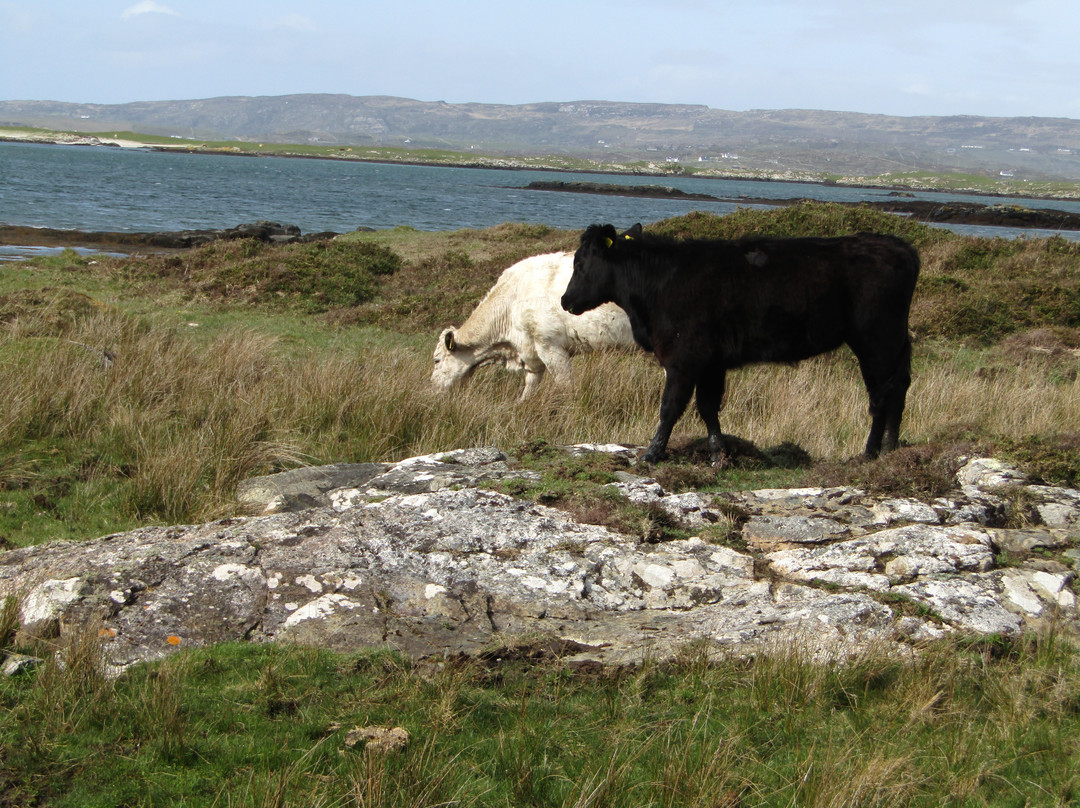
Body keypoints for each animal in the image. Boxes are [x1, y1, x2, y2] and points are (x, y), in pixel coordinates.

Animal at [427, 250, 630, 399]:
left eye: (436, 360)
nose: (432, 389)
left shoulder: (549, 346)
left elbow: (565, 385)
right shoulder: (532, 352)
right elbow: (530, 387)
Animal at [561, 223, 924, 464]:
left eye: (580, 263)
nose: (566, 300)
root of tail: (898, 246)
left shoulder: (683, 357)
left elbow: (670, 407)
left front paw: (651, 454)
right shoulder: (711, 362)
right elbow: (708, 407)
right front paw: (718, 455)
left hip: (876, 337)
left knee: (883, 392)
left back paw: (871, 452)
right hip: (886, 341)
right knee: (897, 387)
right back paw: (888, 449)